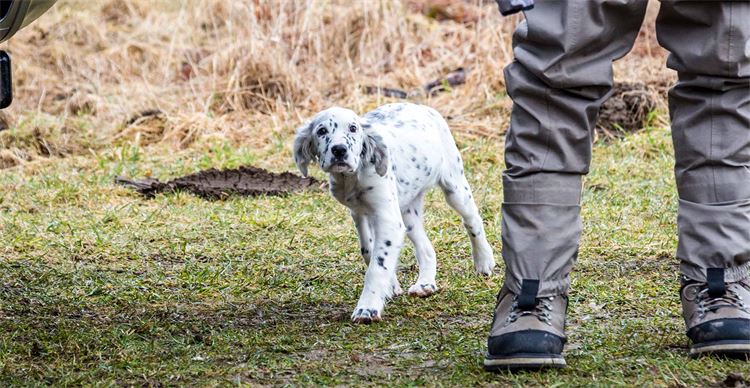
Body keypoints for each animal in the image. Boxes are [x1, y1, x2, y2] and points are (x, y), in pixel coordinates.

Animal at [296, 101, 500, 322]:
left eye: (353, 128)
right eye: (321, 131)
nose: (339, 150)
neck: (351, 178)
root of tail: (422, 106)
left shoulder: (387, 218)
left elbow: (377, 266)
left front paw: (367, 308)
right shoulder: (360, 213)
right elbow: (369, 252)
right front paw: (390, 286)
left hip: (455, 186)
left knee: (472, 220)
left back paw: (484, 261)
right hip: (407, 212)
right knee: (426, 247)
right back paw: (425, 284)